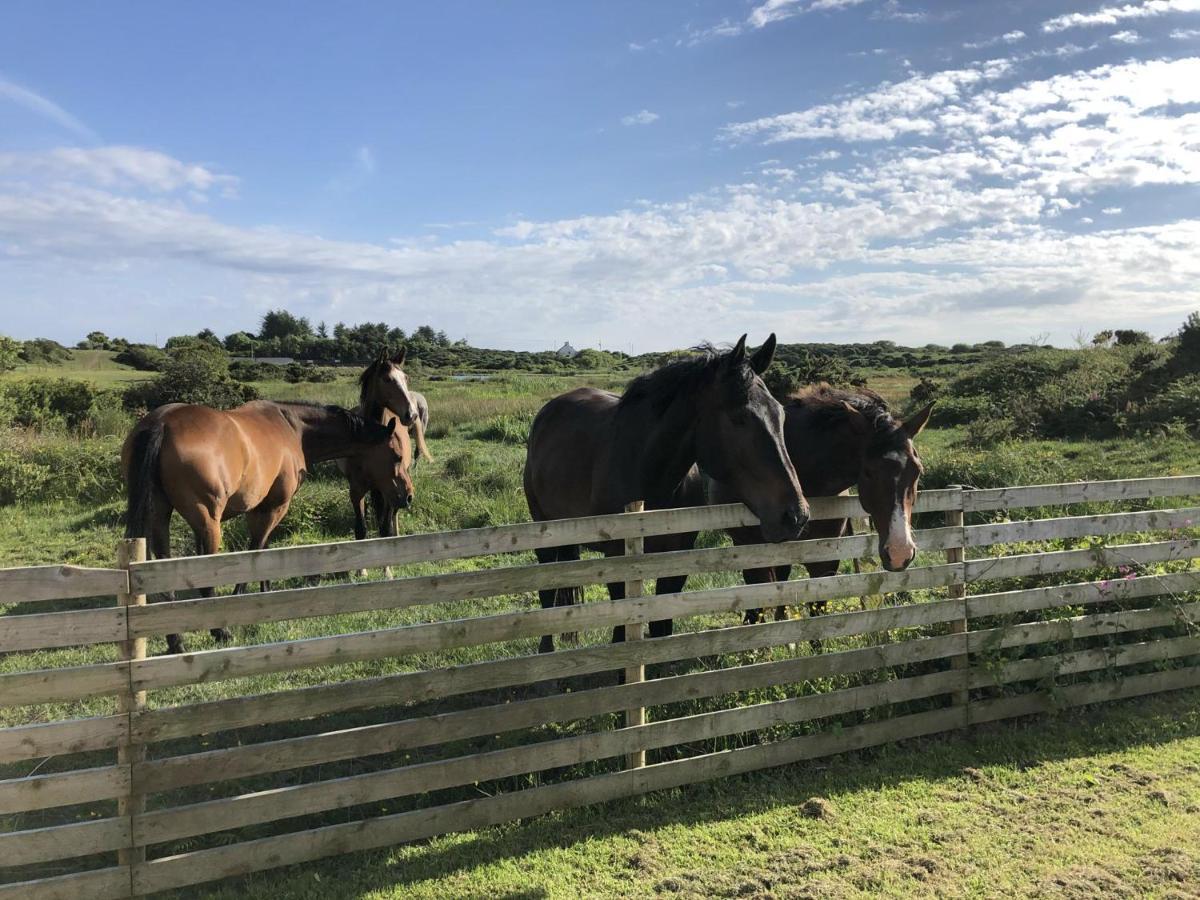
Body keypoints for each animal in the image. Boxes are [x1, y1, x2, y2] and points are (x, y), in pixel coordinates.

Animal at [124, 403, 400, 657]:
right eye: (397, 456)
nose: (405, 496)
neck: (293, 427)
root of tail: (162, 423)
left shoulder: (257, 509)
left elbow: (263, 550)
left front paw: (265, 593)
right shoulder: (274, 508)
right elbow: (256, 550)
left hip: (160, 517)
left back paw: (176, 641)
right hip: (208, 523)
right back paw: (219, 631)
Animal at [523, 336, 806, 652]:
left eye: (780, 413)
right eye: (739, 418)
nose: (795, 515)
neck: (648, 471)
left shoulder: (674, 565)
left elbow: (661, 630)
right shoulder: (618, 565)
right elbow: (621, 633)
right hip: (544, 532)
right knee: (547, 594)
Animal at [705, 386, 931, 628]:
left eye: (917, 470)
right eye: (869, 471)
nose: (899, 552)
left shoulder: (825, 559)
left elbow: (817, 612)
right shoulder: (751, 554)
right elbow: (757, 610)